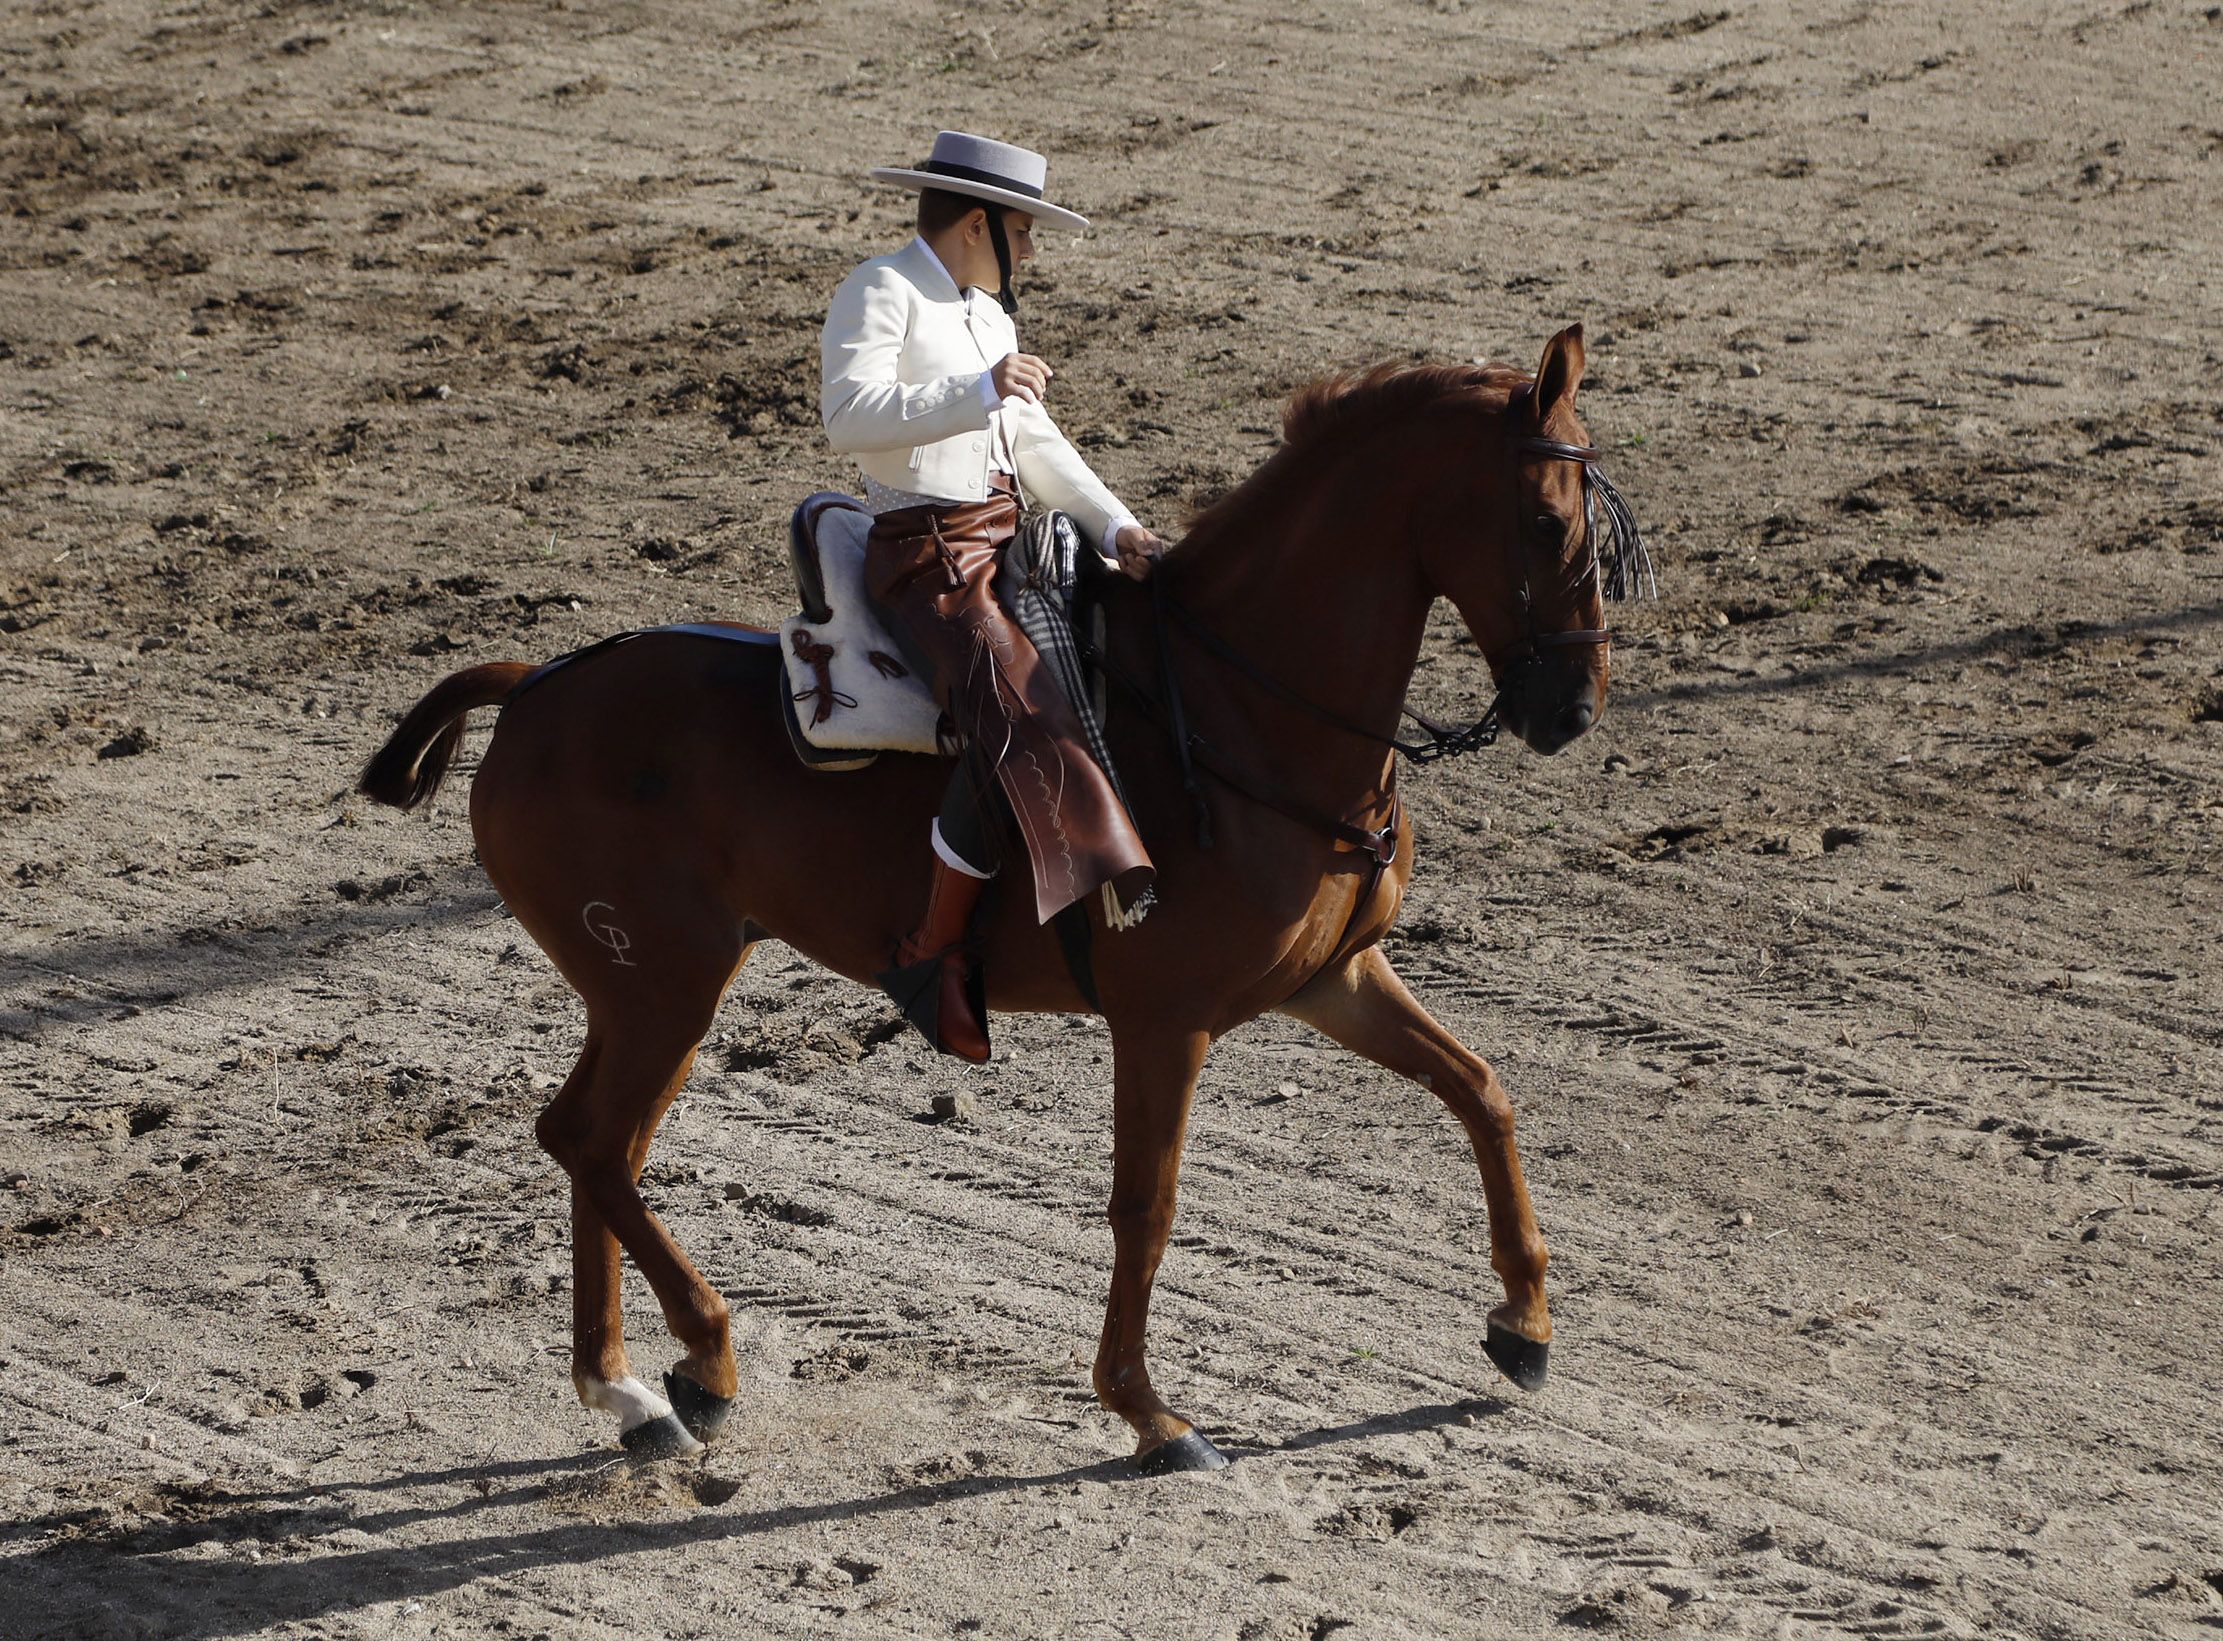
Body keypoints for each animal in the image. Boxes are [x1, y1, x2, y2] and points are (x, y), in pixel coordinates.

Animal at [355, 322, 1645, 1467]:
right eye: (1544, 518)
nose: (1573, 709)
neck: (1231, 715)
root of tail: (538, 684)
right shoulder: (1165, 1022)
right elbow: (1146, 1205)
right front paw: (1149, 1413)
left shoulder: (1332, 978)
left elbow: (1481, 1093)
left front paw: (1524, 1324)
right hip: (661, 985)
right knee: (589, 1140)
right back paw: (705, 1356)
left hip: (650, 993)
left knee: (599, 1147)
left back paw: (629, 1391)